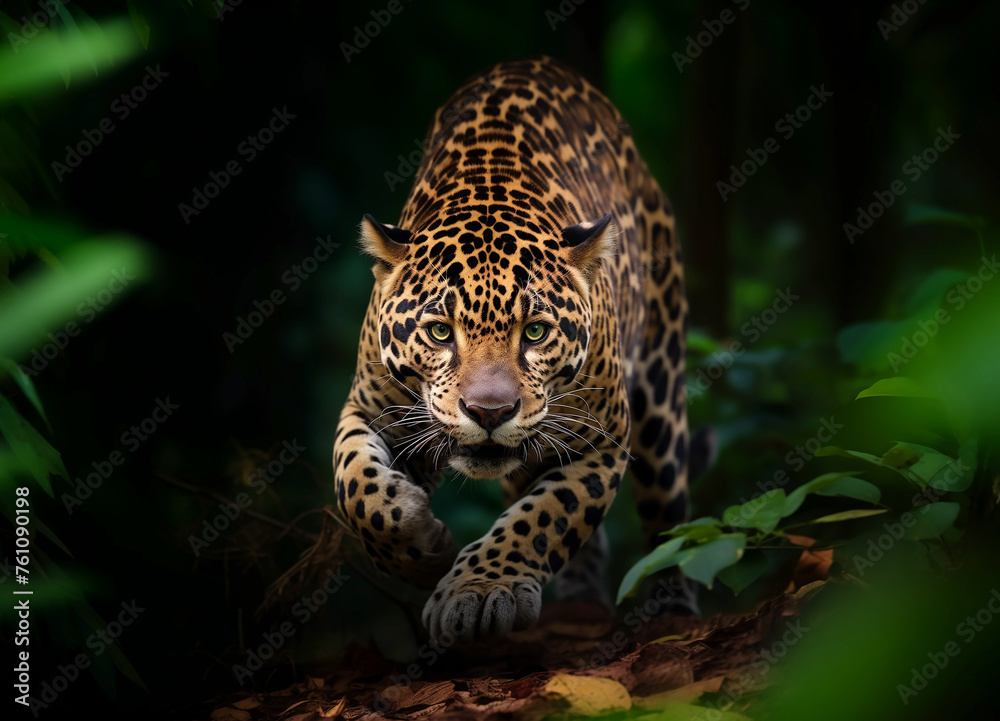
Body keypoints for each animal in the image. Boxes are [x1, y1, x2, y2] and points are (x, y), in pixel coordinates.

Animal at [333, 56, 710, 646]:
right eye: (439, 332)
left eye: (534, 333)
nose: (489, 413)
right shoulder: (370, 409)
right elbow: (357, 485)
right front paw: (421, 550)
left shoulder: (603, 441)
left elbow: (546, 517)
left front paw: (480, 590)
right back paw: (577, 609)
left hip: (661, 396)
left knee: (669, 514)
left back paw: (672, 608)